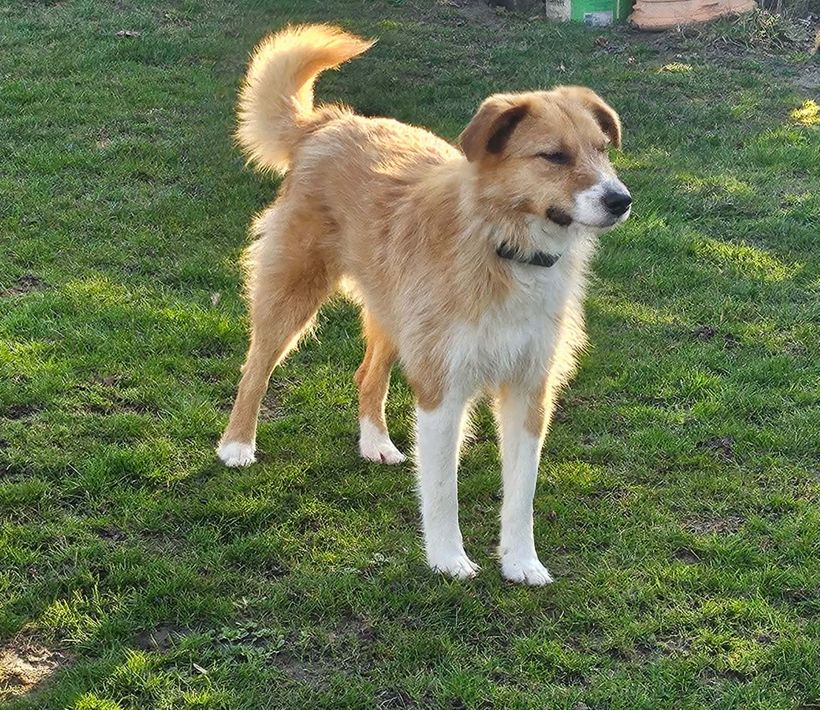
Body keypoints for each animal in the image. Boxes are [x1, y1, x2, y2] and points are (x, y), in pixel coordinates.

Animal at [218, 24, 631, 585]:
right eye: (554, 157)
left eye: (601, 150)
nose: (621, 199)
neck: (504, 247)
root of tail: (328, 124)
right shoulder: (442, 389)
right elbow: (441, 489)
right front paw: (448, 559)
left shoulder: (529, 390)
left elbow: (521, 495)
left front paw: (521, 562)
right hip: (291, 293)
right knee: (255, 367)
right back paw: (237, 444)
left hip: (395, 319)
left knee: (367, 374)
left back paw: (375, 443)